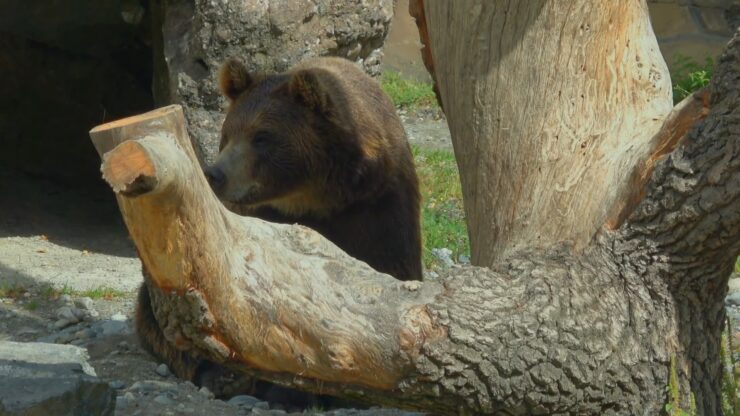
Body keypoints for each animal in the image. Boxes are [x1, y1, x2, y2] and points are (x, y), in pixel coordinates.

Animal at [135, 56, 420, 400]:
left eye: (262, 137)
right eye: (228, 133)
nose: (215, 174)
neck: (320, 197)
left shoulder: (381, 207)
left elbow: (390, 272)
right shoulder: (259, 222)